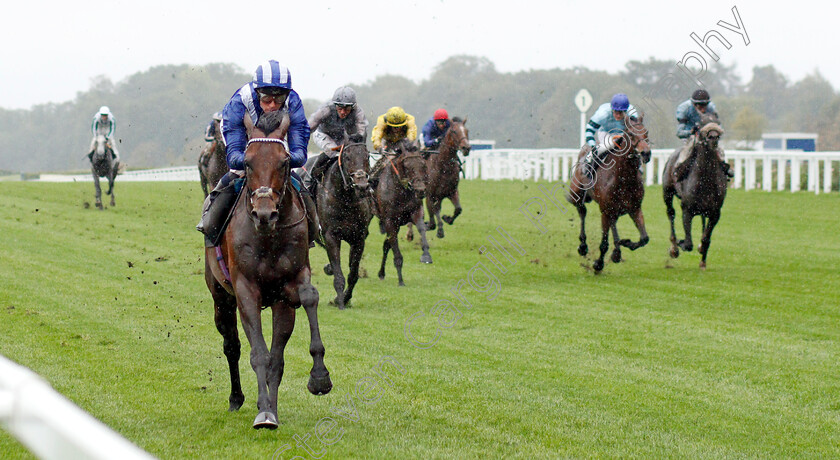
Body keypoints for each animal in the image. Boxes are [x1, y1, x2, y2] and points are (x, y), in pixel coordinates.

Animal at [203, 109, 332, 430]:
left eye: (284, 162)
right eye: (247, 162)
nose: (264, 214)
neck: (268, 236)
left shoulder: (290, 286)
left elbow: (308, 297)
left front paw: (319, 378)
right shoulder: (245, 289)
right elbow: (258, 353)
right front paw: (263, 413)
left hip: (278, 305)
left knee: (278, 356)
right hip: (220, 296)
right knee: (232, 345)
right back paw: (237, 399)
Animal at [568, 115, 652, 274]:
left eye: (646, 132)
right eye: (630, 134)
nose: (646, 153)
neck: (624, 178)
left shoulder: (635, 208)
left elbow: (644, 238)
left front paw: (625, 243)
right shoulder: (605, 211)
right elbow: (604, 244)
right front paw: (598, 264)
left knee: (613, 223)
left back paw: (617, 250)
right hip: (577, 195)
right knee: (582, 212)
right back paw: (583, 246)